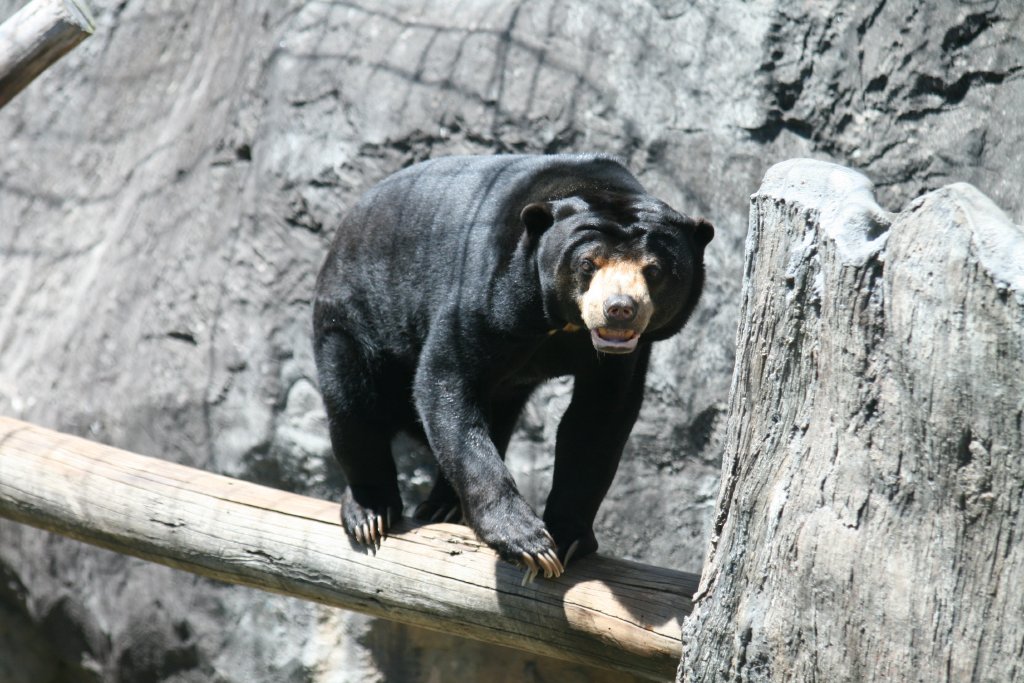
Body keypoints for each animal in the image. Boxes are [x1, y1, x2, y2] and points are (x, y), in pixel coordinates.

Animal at [313, 154, 713, 580]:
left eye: (653, 270)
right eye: (587, 264)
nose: (619, 309)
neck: (565, 325)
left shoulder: (625, 356)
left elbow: (597, 420)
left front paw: (567, 538)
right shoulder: (491, 288)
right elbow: (447, 381)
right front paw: (529, 544)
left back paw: (442, 507)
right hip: (353, 311)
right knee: (352, 400)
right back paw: (370, 513)